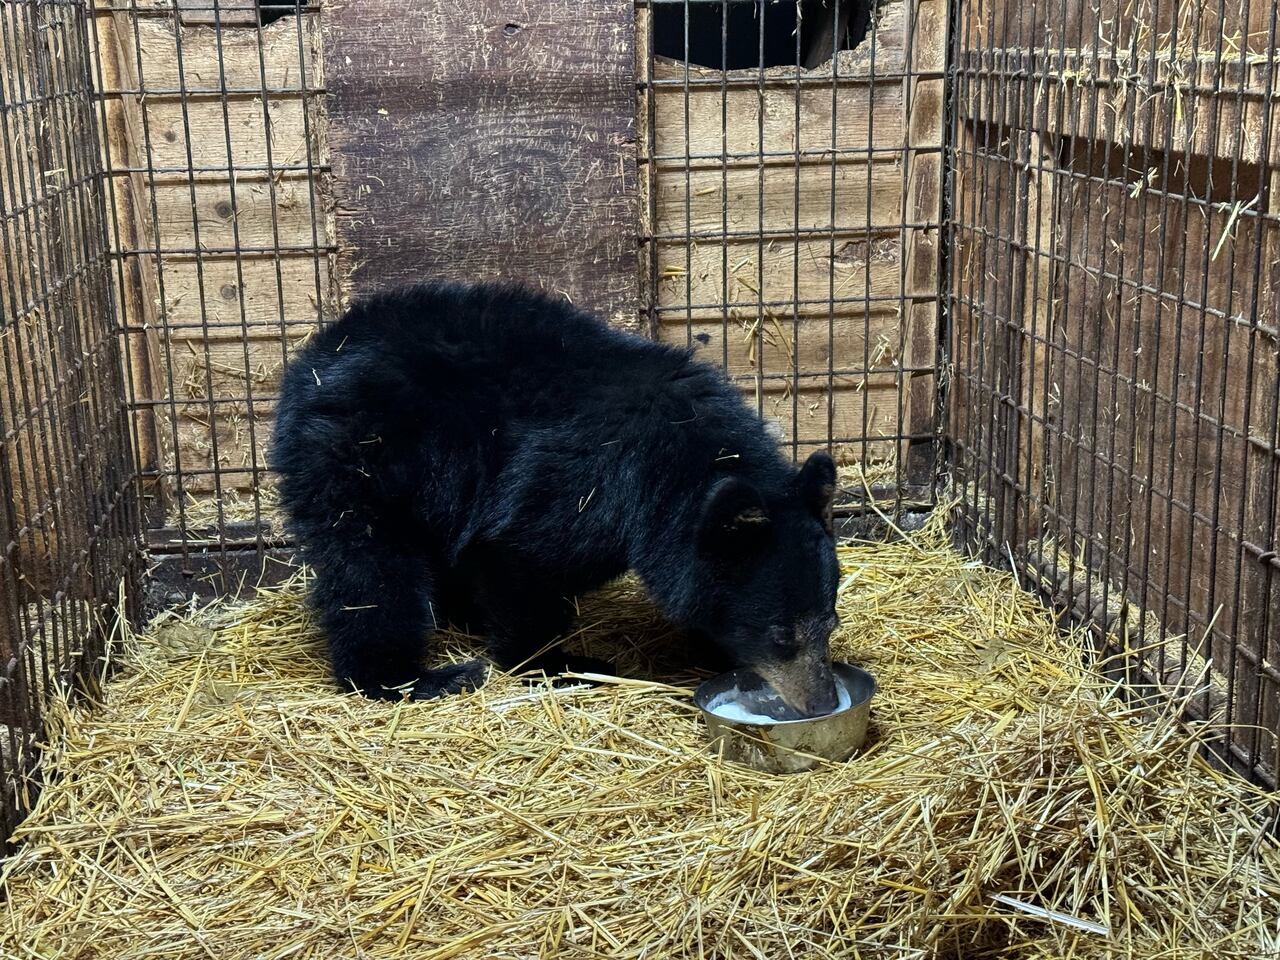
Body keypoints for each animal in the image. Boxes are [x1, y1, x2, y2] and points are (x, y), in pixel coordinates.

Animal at [271, 280, 841, 715]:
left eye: (830, 623)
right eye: (781, 636)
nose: (820, 702)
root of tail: (312, 357)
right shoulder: (582, 484)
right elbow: (520, 562)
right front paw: (560, 663)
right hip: (365, 461)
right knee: (369, 571)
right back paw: (411, 676)